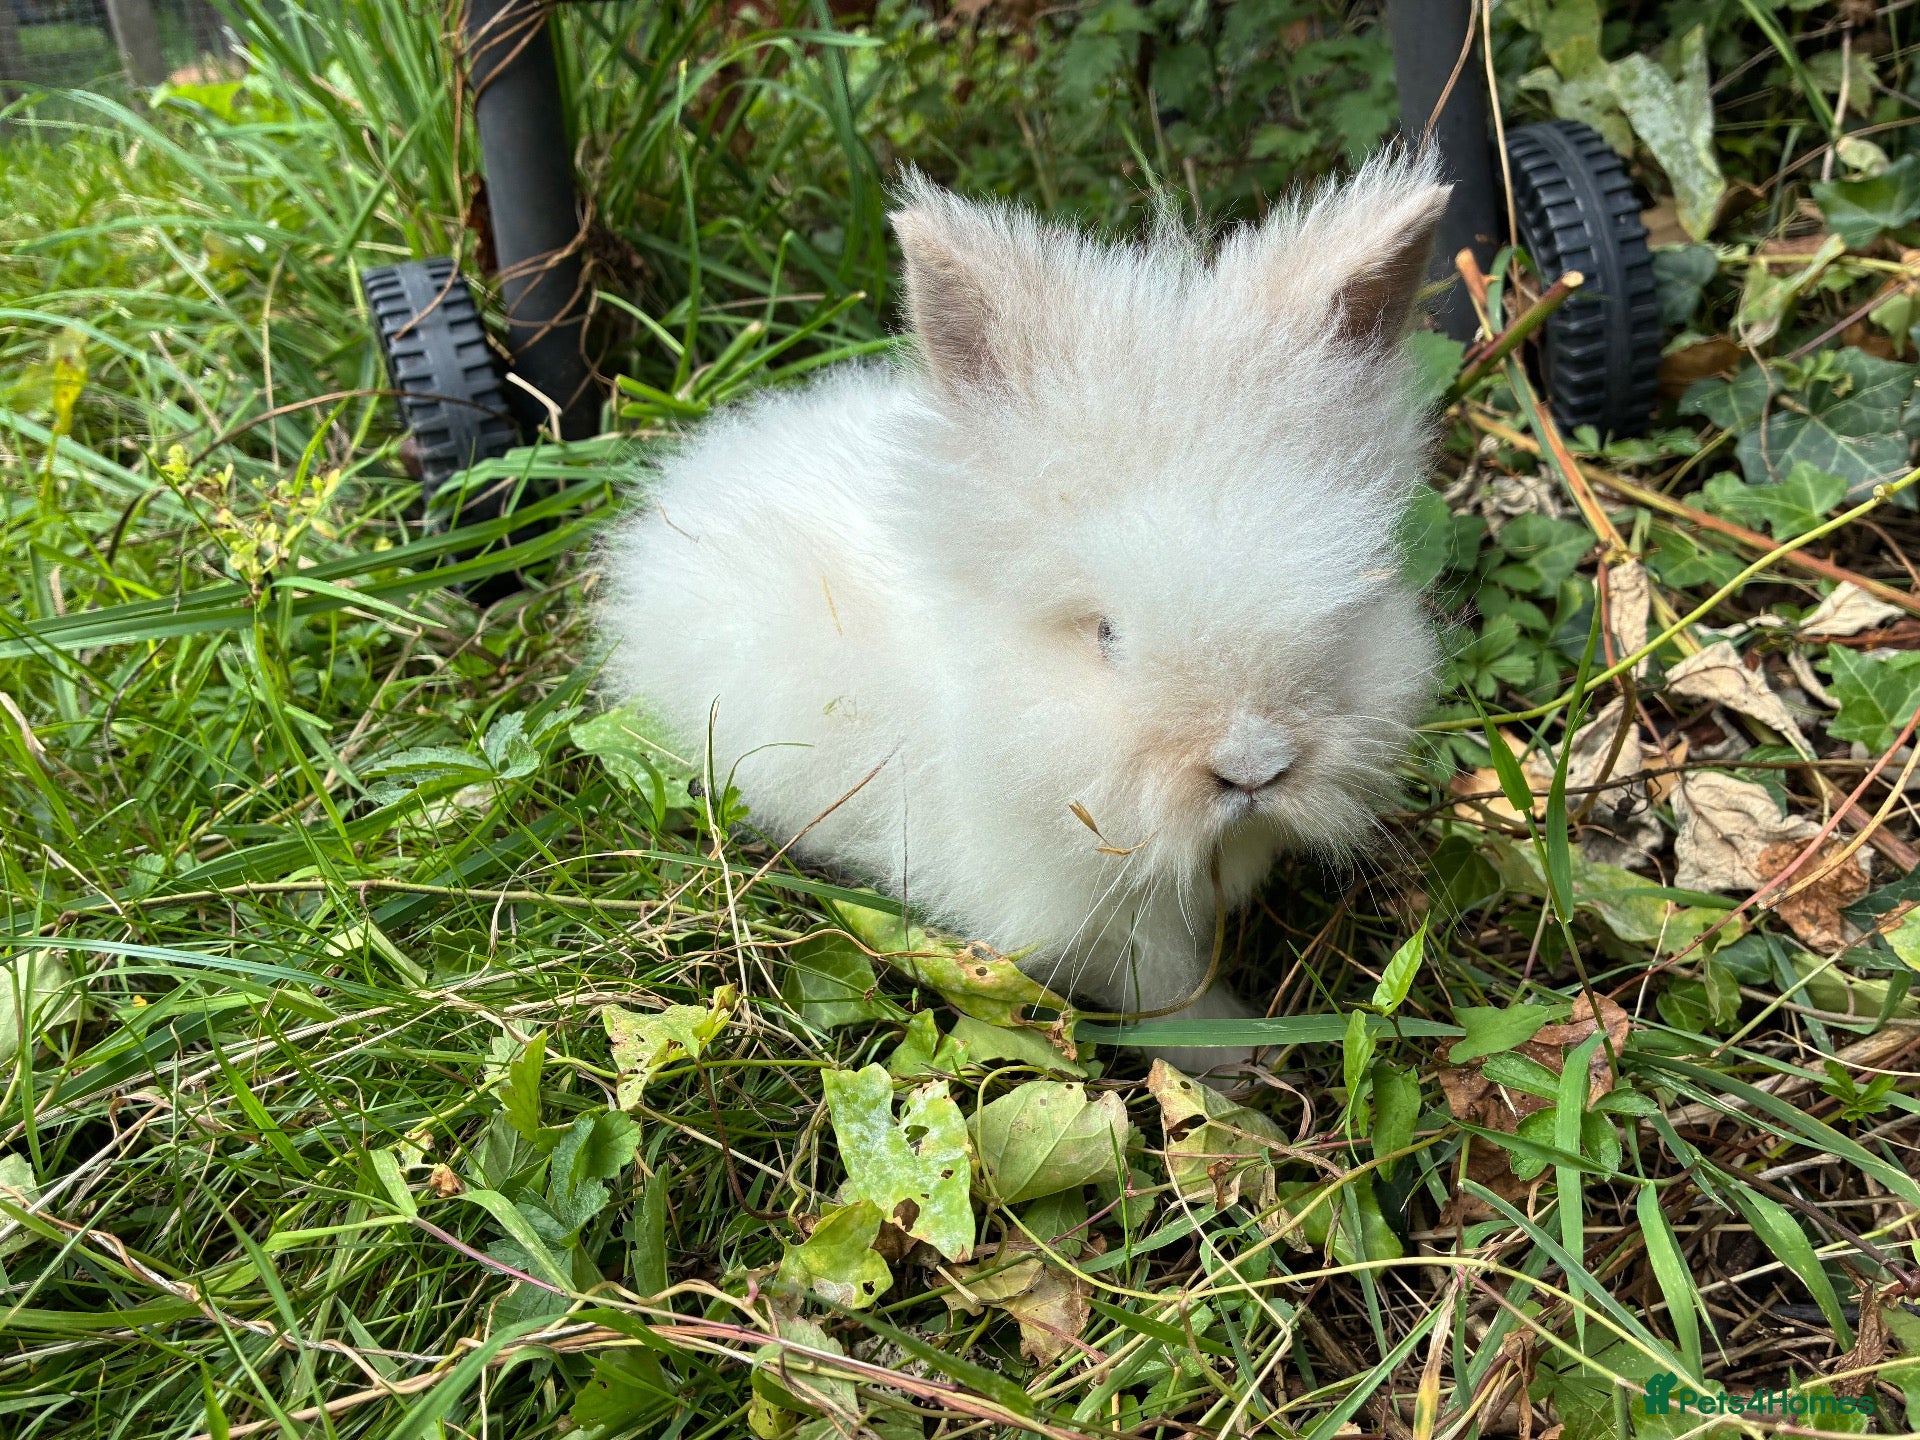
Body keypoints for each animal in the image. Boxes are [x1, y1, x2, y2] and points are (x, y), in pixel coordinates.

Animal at [597, 148, 1448, 1077]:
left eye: (1349, 594)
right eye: (1107, 634)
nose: (1253, 767)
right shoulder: (1099, 917)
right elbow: (1167, 992)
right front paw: (1239, 1064)